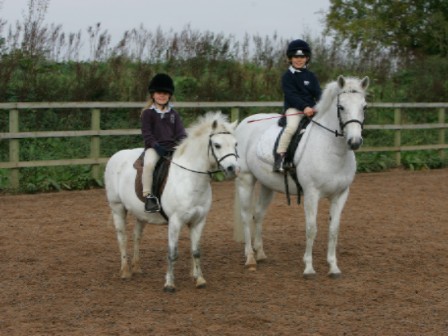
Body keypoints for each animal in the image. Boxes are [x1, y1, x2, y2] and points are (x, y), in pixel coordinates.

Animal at [105, 112, 238, 292]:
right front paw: (169, 284)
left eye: (236, 144)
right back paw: (125, 271)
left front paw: (200, 279)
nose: (233, 169)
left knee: (136, 235)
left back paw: (137, 267)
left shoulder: (198, 221)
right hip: (117, 208)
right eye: (217, 145)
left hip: (140, 214)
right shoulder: (175, 221)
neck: (191, 180)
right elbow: (172, 253)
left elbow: (196, 251)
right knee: (122, 237)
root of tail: (116, 156)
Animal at [234, 76, 368, 278]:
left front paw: (333, 267)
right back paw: (250, 257)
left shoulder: (341, 195)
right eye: (341, 107)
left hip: (267, 185)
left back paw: (260, 253)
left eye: (364, 106)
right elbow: (311, 229)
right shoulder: (312, 194)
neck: (332, 150)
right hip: (246, 180)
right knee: (245, 215)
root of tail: (245, 123)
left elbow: (334, 230)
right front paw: (309, 268)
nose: (355, 142)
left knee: (258, 214)